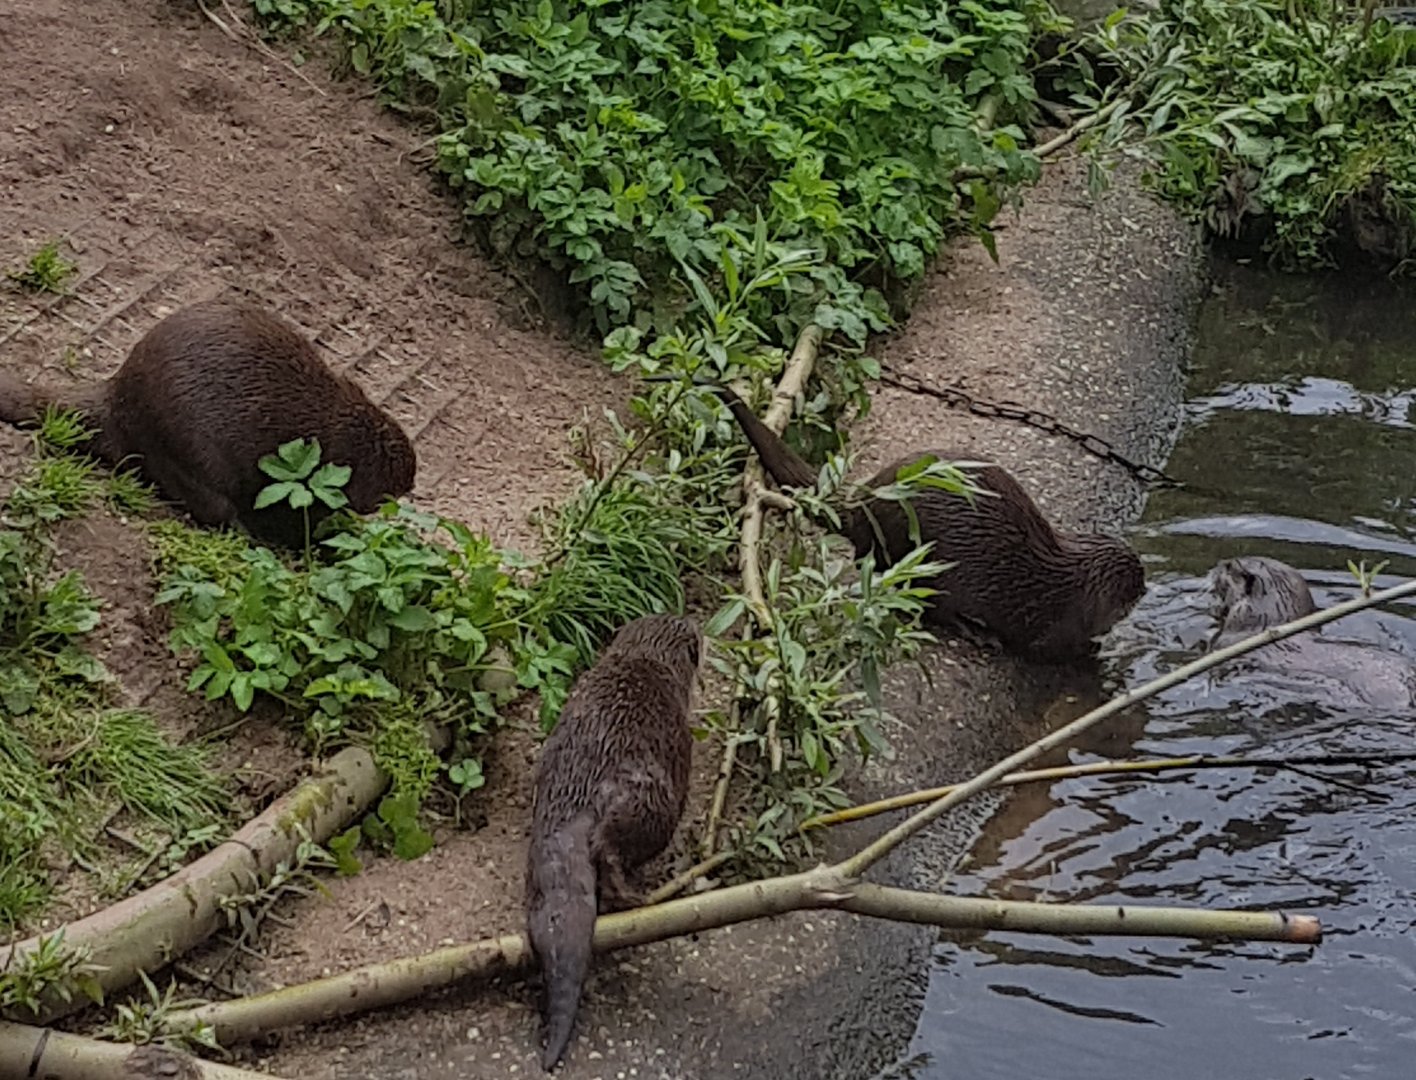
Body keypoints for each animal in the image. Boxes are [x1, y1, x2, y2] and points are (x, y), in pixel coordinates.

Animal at [0, 298, 415, 548]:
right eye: (385, 492)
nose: (406, 487)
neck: (335, 436)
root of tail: (117, 398)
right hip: (186, 451)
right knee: (213, 508)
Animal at [524, 612, 702, 1071]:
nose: (699, 622)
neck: (648, 661)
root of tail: (580, 794)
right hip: (653, 805)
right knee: (610, 852)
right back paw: (641, 897)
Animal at [712, 384, 1145, 662]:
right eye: (1135, 584)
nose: (1145, 589)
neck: (1072, 586)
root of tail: (866, 505)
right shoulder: (1057, 625)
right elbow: (1054, 651)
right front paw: (1094, 650)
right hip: (929, 563)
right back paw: (977, 633)